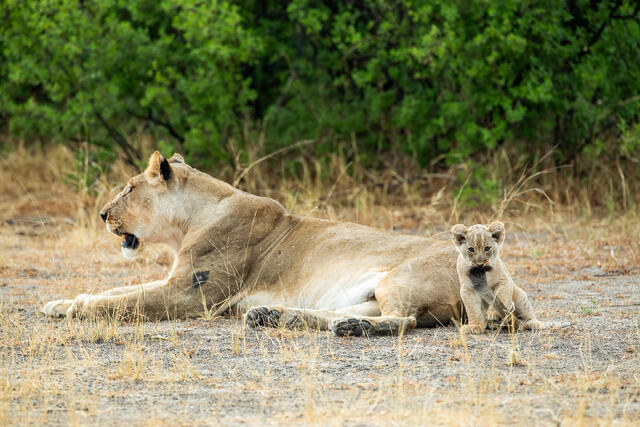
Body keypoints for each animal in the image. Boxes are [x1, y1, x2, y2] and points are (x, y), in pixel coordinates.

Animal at [41, 152, 559, 337]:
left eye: (129, 188)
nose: (102, 214)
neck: (192, 219)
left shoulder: (192, 294)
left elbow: (123, 303)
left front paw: (75, 309)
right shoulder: (175, 281)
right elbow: (116, 291)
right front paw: (56, 303)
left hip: (398, 279)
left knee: (404, 320)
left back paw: (351, 329)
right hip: (366, 294)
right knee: (338, 313)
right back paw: (274, 316)